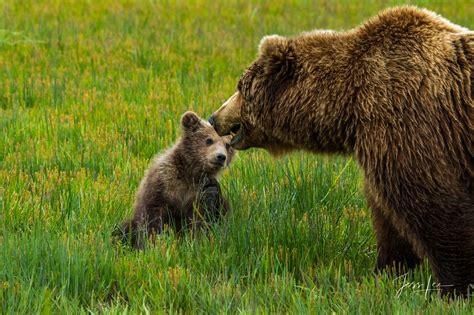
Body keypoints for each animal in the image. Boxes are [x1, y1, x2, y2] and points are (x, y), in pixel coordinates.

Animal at [211, 7, 474, 298]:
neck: (350, 103)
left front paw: (455, 289)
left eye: (240, 87)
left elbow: (434, 207)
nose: (214, 117)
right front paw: (385, 272)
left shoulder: (405, 125)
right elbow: (389, 220)